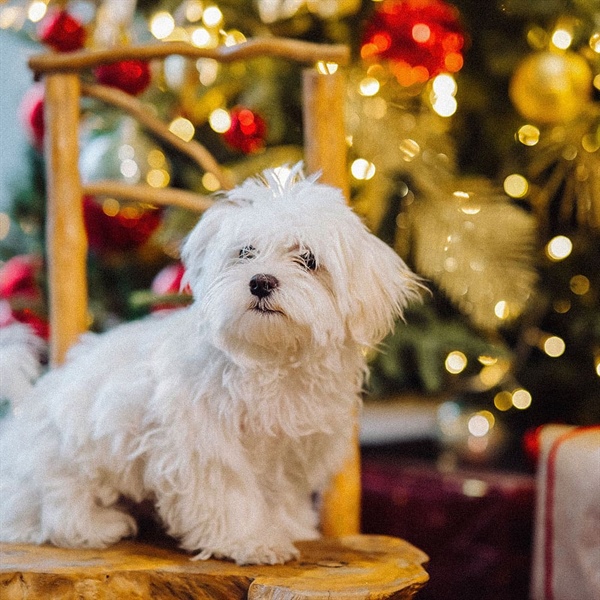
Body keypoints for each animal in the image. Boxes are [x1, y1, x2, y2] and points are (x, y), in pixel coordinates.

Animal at [0, 163, 420, 564]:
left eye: (308, 259)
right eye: (246, 252)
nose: (261, 281)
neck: (271, 358)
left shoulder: (290, 451)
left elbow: (280, 495)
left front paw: (289, 528)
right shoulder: (204, 443)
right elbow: (230, 493)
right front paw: (250, 541)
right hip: (64, 458)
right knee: (50, 510)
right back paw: (97, 524)